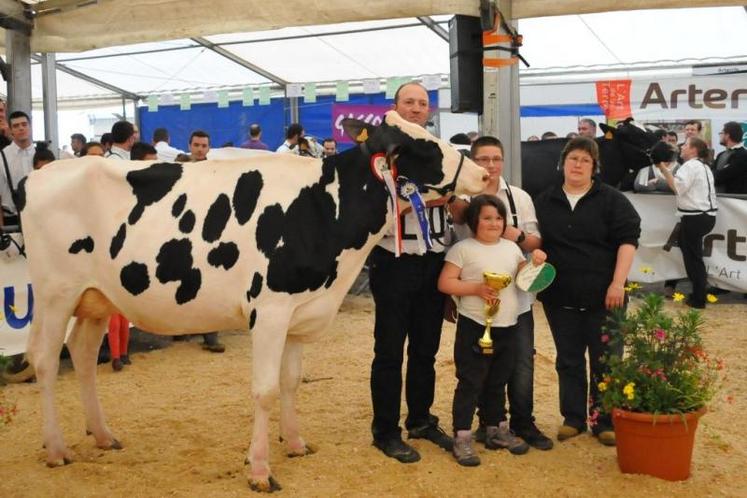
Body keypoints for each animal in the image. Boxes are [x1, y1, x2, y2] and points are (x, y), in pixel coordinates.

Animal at [20, 112, 488, 490]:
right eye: (422, 146)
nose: (484, 175)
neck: (323, 209)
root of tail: (40, 176)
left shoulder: (300, 310)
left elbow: (291, 381)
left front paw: (295, 443)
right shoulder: (270, 311)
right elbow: (265, 390)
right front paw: (260, 470)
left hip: (96, 297)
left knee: (82, 354)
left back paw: (102, 435)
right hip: (54, 293)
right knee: (46, 359)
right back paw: (56, 448)